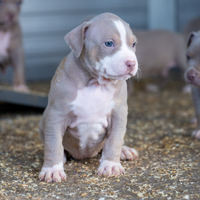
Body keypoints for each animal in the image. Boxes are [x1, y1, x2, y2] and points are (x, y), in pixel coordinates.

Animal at [38, 12, 139, 183]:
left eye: (133, 44)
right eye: (109, 43)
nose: (131, 63)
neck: (95, 83)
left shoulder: (118, 114)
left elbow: (114, 140)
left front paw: (110, 165)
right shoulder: (56, 115)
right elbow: (53, 143)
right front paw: (52, 169)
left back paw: (124, 151)